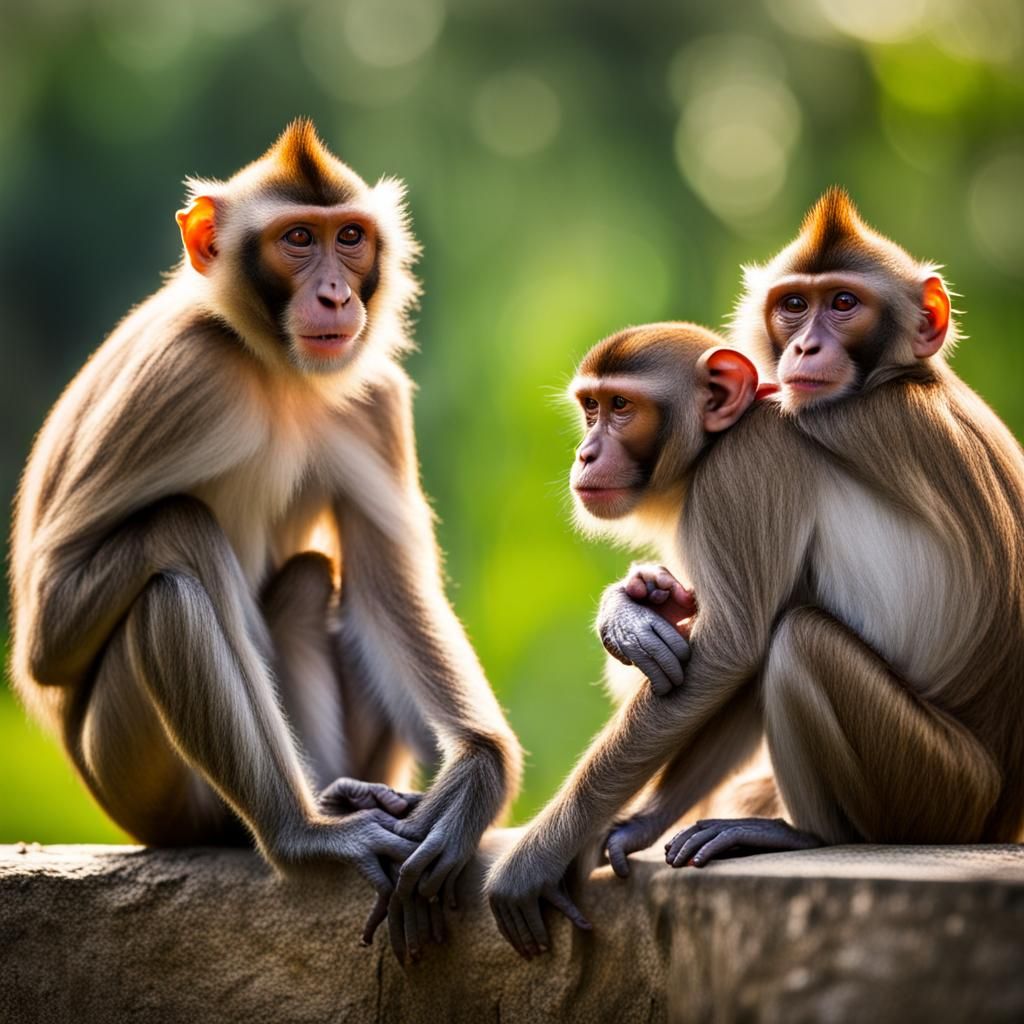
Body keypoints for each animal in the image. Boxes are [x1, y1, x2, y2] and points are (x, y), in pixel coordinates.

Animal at [8, 120, 522, 963]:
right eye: (296, 240)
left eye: (350, 238)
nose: (335, 294)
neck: (276, 371)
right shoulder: (183, 376)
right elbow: (46, 643)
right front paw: (314, 836)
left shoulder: (369, 398)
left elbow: (385, 583)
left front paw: (476, 776)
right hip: (137, 776)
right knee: (171, 581)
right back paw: (302, 830)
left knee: (312, 578)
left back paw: (349, 794)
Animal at [485, 191, 1024, 957]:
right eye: (590, 408)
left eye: (621, 408)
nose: (586, 455)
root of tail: (999, 814)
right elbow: (724, 667)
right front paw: (637, 820)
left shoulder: (747, 465)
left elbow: (735, 645)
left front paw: (537, 855)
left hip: (938, 790)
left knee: (797, 641)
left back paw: (808, 835)